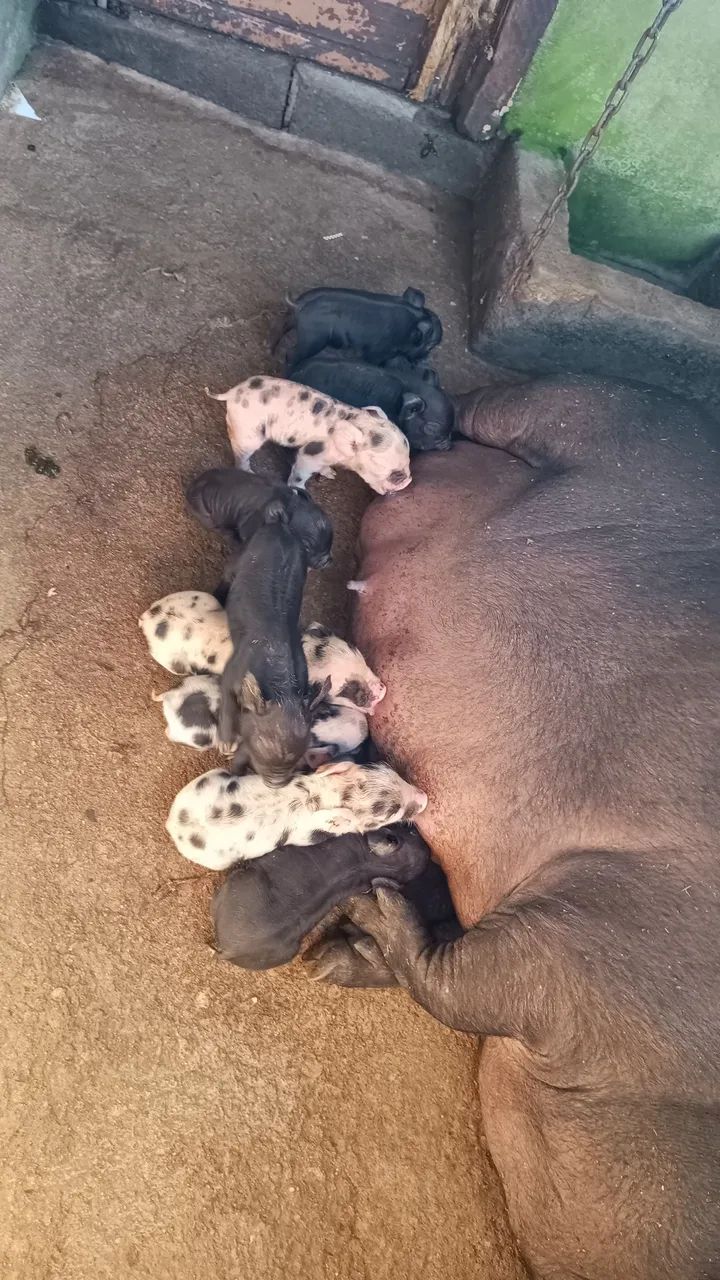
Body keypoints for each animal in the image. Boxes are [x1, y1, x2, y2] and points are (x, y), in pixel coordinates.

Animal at [167, 760, 428, 870]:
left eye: (391, 773)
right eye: (393, 812)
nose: (425, 797)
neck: (331, 795)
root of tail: (173, 826)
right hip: (219, 861)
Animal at [185, 467, 333, 570]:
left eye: (331, 538)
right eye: (306, 546)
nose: (327, 560)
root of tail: (190, 488)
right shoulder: (248, 525)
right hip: (206, 514)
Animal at [206, 376, 412, 494]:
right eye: (395, 473)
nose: (409, 481)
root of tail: (232, 393)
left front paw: (332, 475)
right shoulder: (311, 452)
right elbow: (301, 472)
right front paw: (300, 490)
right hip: (248, 431)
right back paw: (249, 472)